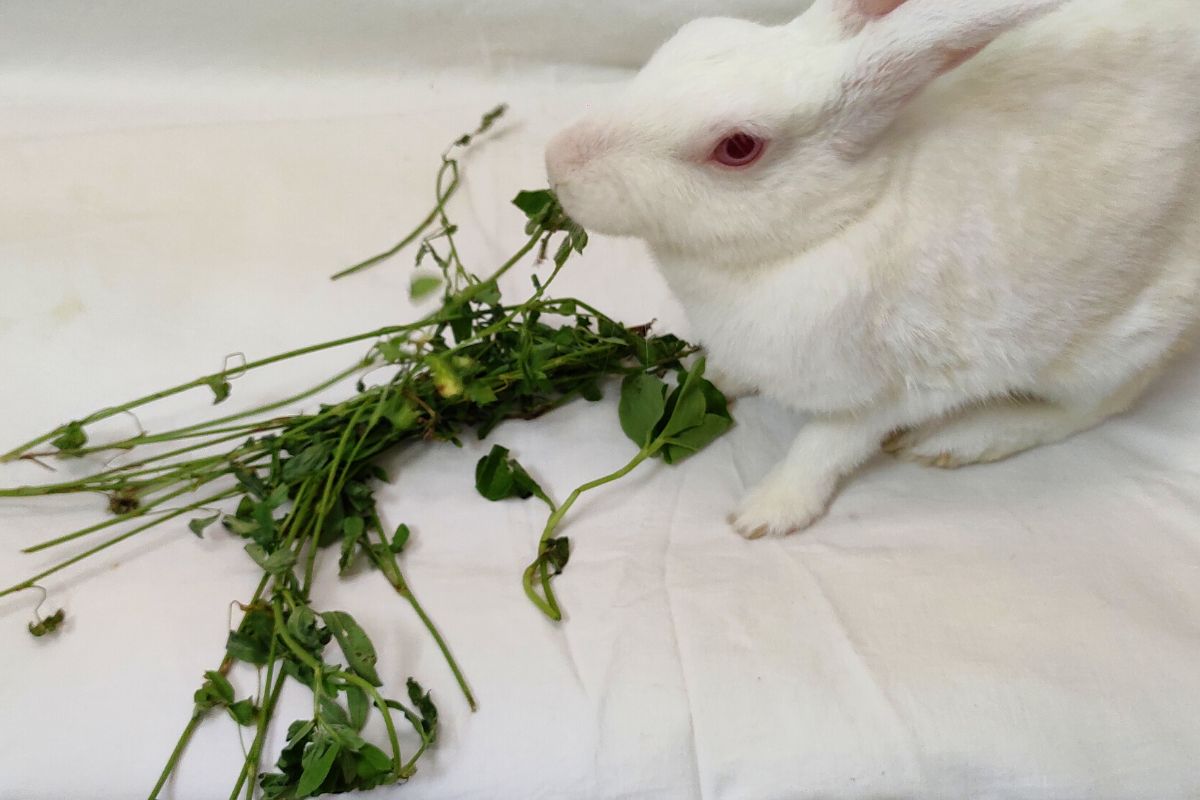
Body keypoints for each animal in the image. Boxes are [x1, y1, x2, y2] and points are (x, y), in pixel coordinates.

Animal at [544, 0, 1200, 538]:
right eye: (689, 35)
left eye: (737, 147)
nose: (556, 162)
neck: (846, 214)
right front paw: (714, 380)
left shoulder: (890, 392)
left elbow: (823, 448)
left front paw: (765, 513)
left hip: (1114, 346)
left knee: (1095, 406)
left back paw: (958, 441)